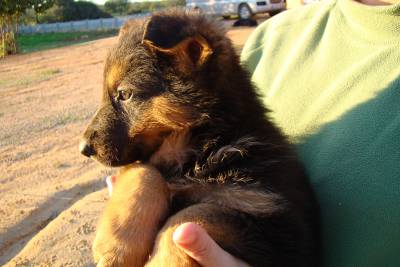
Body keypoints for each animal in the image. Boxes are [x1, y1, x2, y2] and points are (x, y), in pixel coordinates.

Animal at [80, 9, 318, 267]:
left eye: (124, 94)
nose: (84, 148)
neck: (202, 148)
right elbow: (144, 169)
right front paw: (118, 242)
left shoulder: (278, 226)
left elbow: (193, 215)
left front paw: (160, 260)